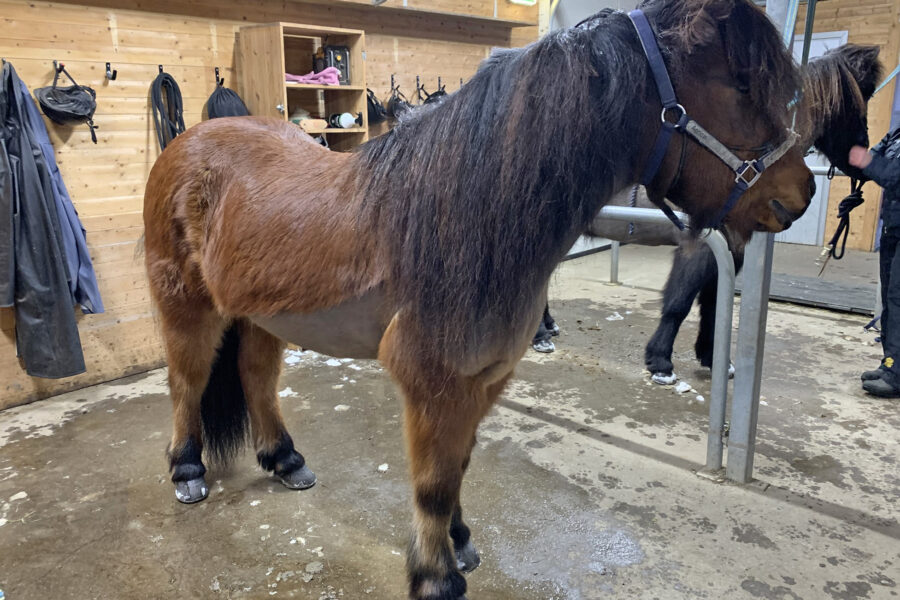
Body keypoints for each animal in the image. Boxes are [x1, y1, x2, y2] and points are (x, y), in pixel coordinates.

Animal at [142, 2, 816, 596]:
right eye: (739, 86)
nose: (802, 193)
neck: (467, 214)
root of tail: (188, 142)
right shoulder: (433, 381)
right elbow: (434, 484)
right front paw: (435, 576)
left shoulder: (482, 377)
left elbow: (459, 464)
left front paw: (460, 543)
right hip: (187, 306)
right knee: (187, 380)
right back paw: (187, 471)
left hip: (261, 314)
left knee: (255, 376)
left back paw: (284, 460)